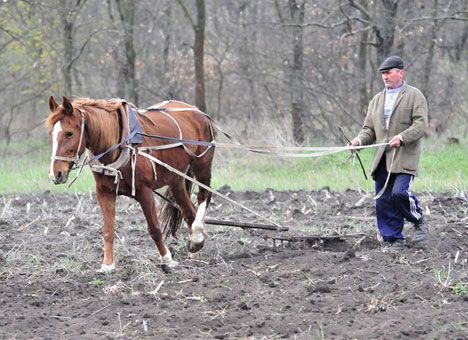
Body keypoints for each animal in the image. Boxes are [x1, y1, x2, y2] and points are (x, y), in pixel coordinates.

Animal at [46, 97, 215, 272]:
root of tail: (197, 111)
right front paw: (108, 265)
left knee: (204, 195)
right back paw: (195, 246)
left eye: (69, 133)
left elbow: (154, 228)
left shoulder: (144, 191)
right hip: (176, 179)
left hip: (202, 164)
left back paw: (197, 237)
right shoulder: (104, 192)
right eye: (51, 133)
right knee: (189, 211)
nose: (55, 174)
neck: (119, 145)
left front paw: (167, 259)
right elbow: (108, 230)